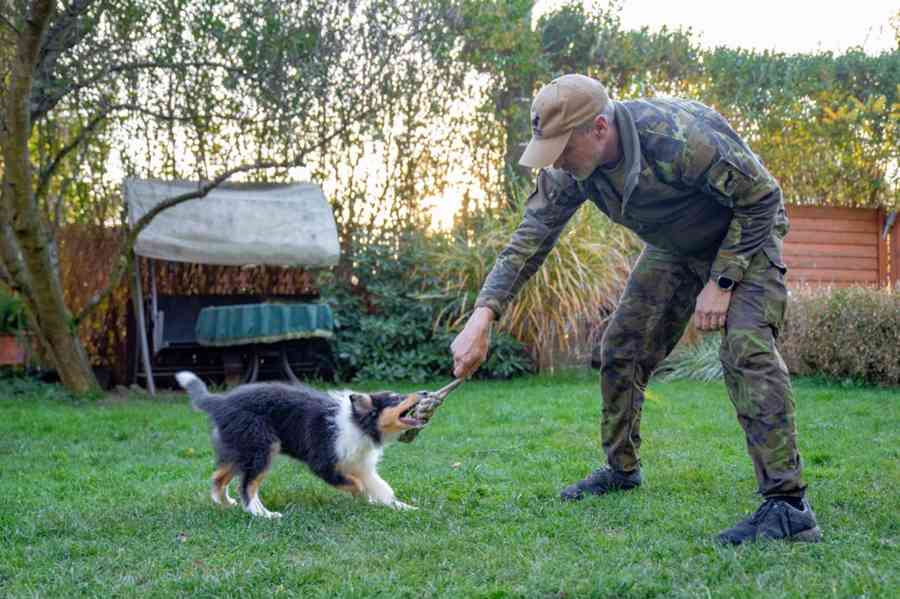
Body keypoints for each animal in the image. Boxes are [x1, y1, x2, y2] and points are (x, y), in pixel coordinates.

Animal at [178, 368, 426, 516]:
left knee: (219, 477)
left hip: (239, 449)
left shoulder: (362, 466)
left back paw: (225, 504)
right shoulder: (323, 463)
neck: (357, 422)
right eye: (396, 398)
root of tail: (220, 402)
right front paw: (364, 497)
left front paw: (406, 508)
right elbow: (355, 484)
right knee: (247, 485)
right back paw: (263, 514)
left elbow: (382, 488)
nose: (424, 392)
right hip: (261, 446)